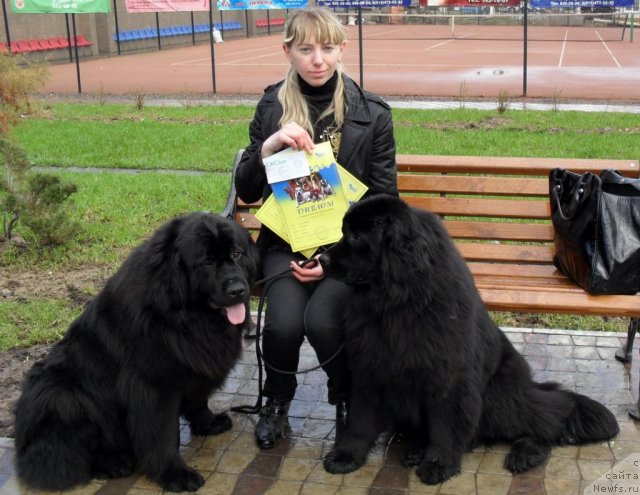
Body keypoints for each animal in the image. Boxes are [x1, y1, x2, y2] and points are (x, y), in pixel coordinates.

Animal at [13, 213, 258, 492]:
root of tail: (22, 444)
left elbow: (198, 400)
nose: (237, 290)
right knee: (64, 459)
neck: (184, 314)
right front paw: (174, 474)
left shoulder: (194, 365)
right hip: (60, 396)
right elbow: (162, 435)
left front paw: (208, 423)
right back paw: (114, 463)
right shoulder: (152, 386)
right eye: (206, 262)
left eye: (237, 253)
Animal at [320, 196, 620, 486]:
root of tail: (529, 386)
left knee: (547, 419)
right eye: (344, 231)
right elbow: (360, 419)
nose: (321, 259)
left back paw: (525, 453)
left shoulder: (450, 377)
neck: (397, 303)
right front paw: (346, 456)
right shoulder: (370, 366)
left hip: (499, 397)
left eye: (356, 237)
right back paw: (417, 449)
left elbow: (445, 426)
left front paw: (439, 464)